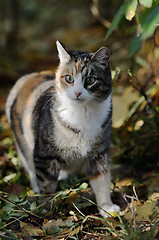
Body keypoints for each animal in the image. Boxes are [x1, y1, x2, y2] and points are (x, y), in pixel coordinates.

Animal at [6, 41, 120, 218]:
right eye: (69, 78)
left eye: (90, 80)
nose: (78, 92)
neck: (83, 113)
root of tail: (29, 76)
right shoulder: (44, 156)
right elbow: (46, 184)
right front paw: (46, 208)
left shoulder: (99, 153)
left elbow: (102, 181)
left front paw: (106, 207)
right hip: (23, 142)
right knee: (31, 167)